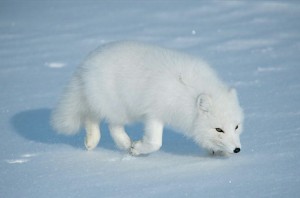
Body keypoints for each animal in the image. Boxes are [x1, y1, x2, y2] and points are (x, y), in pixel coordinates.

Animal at [51, 41, 244, 156]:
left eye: (236, 126)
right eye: (219, 129)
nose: (237, 149)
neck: (189, 92)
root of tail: (85, 64)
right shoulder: (154, 113)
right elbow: (155, 142)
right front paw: (137, 149)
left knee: (96, 118)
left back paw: (97, 142)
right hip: (119, 107)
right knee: (106, 123)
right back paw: (122, 144)